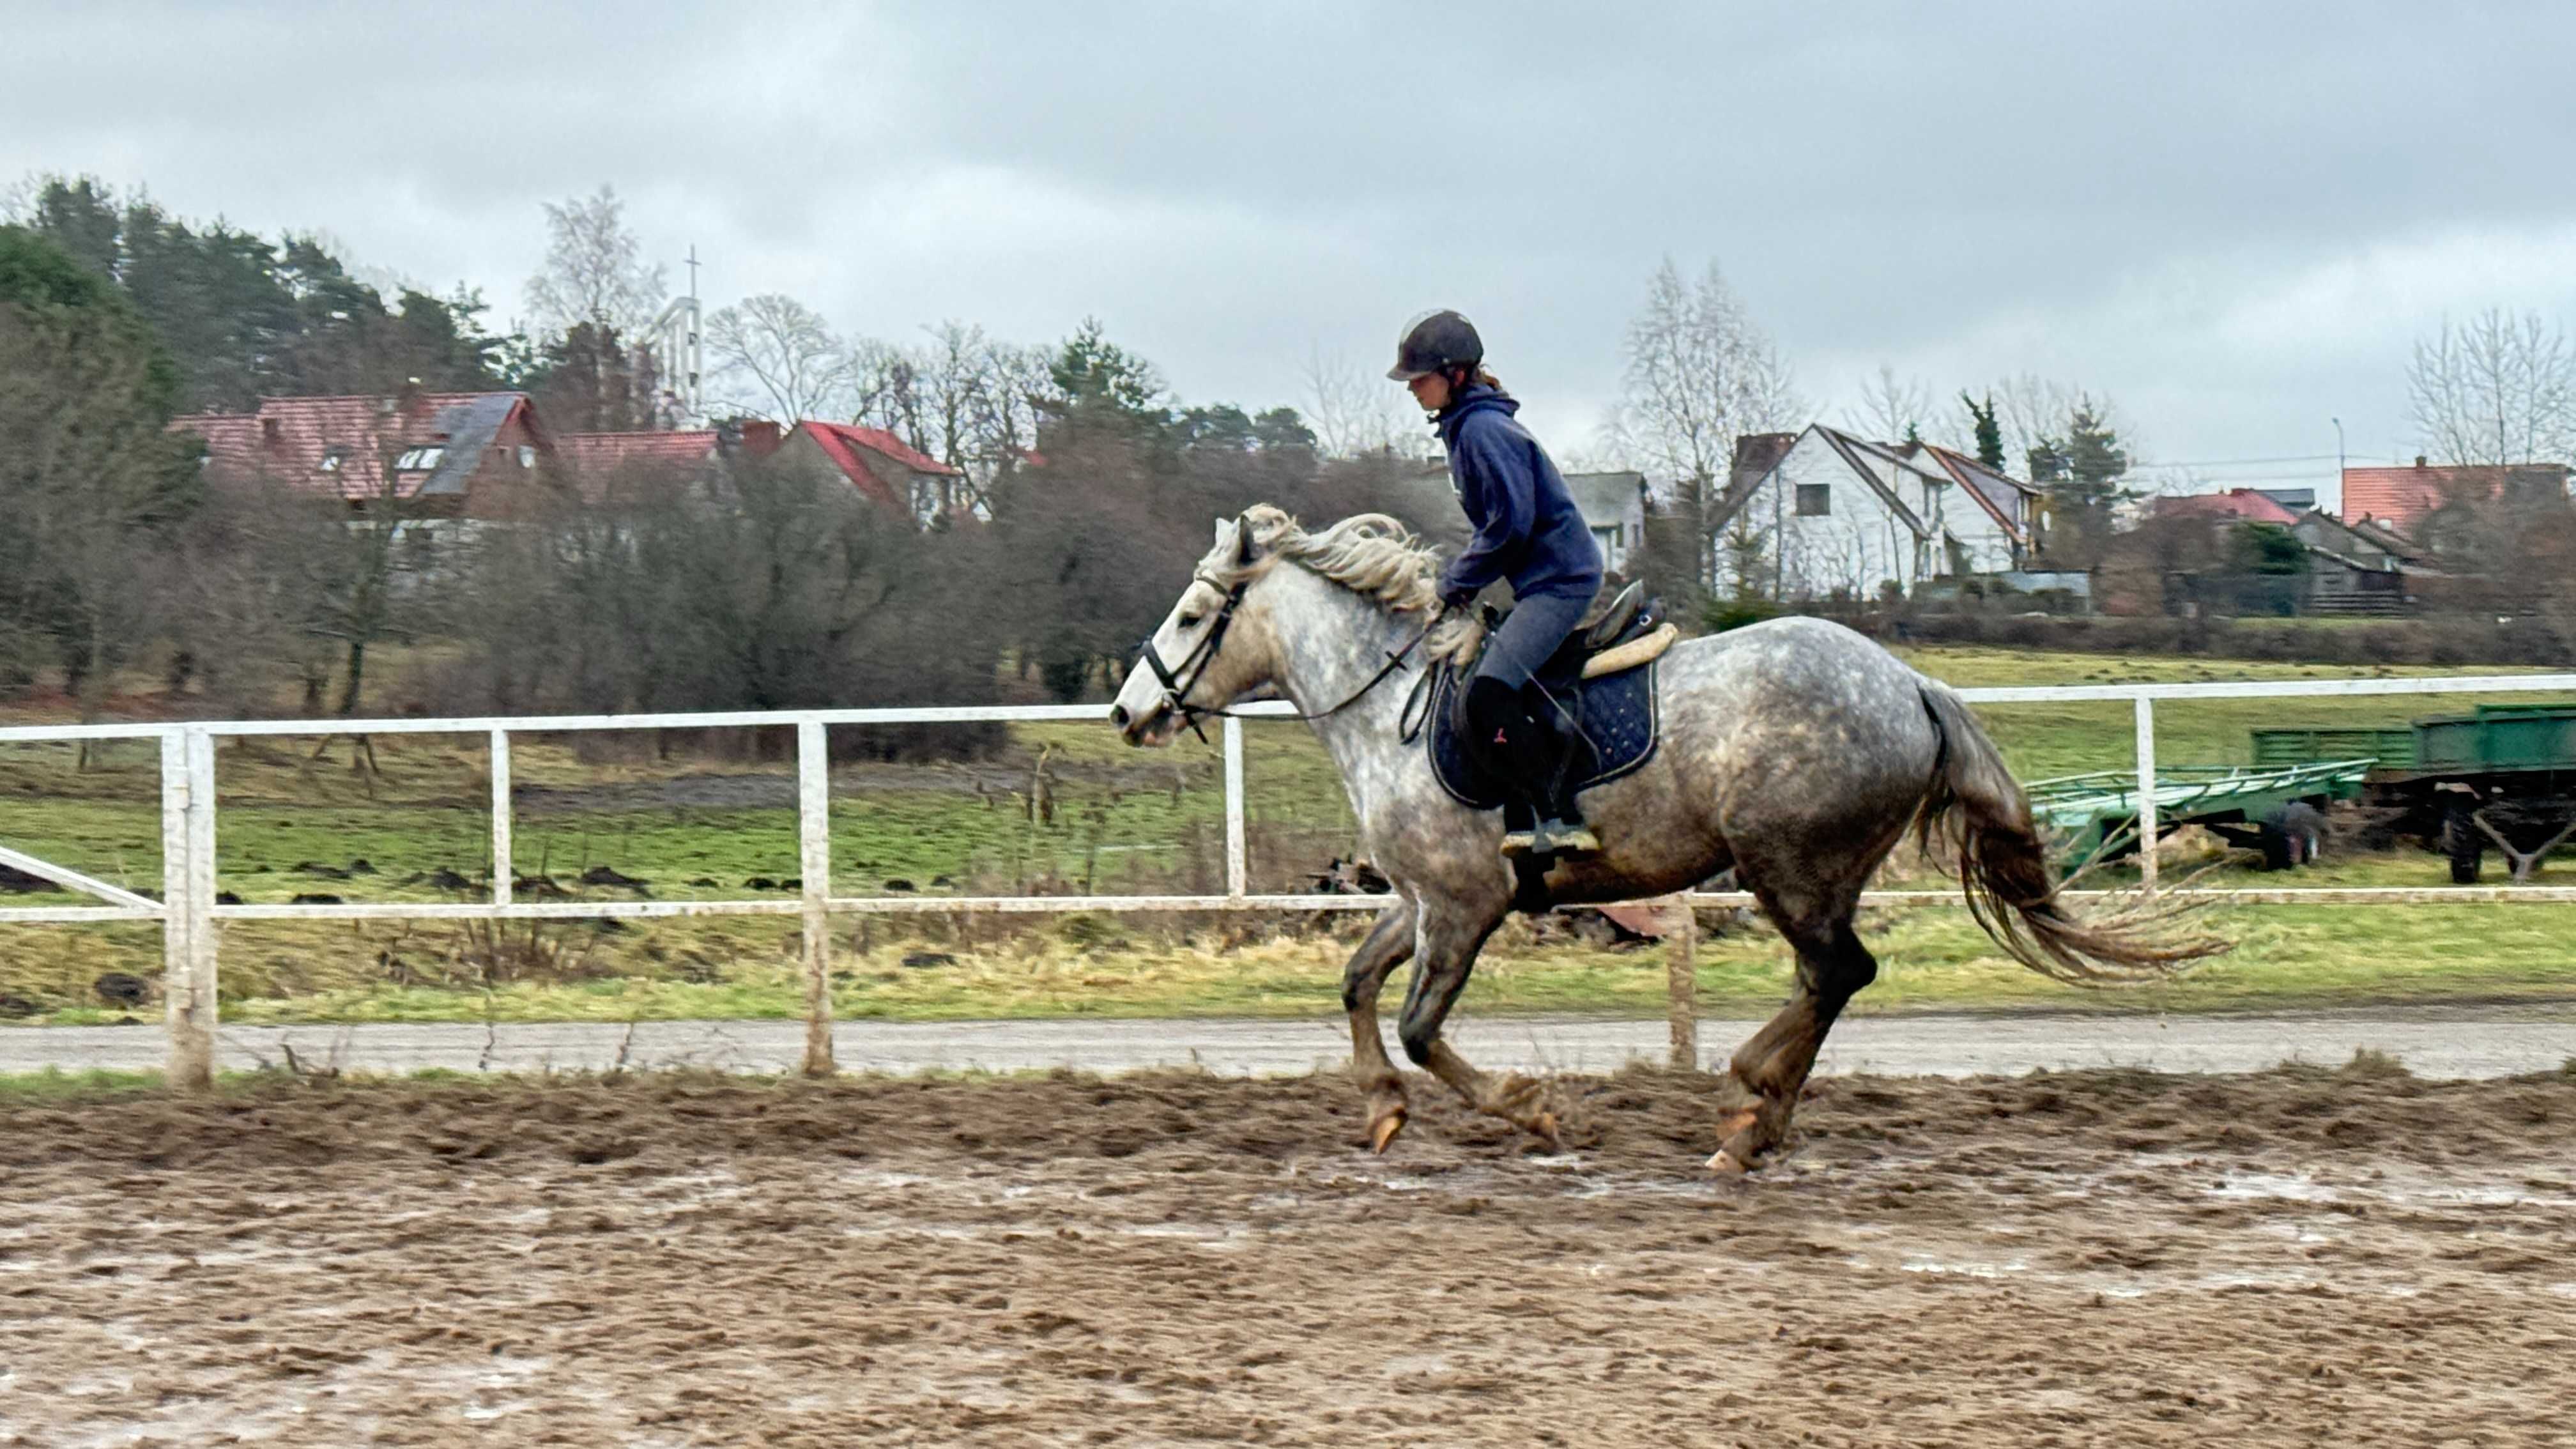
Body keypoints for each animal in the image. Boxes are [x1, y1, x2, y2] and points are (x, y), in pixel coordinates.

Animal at [1107, 505, 2215, 1160]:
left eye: (1193, 614)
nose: (1127, 712)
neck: (1390, 709)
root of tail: (1909, 684)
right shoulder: (1422, 901)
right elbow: (1355, 985)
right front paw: (1380, 1108)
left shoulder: (1466, 905)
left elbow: (1424, 1028)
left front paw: (1529, 1106)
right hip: (1818, 870)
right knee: (1829, 979)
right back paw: (1760, 1113)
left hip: (1786, 862)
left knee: (1837, 973)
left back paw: (1747, 1109)